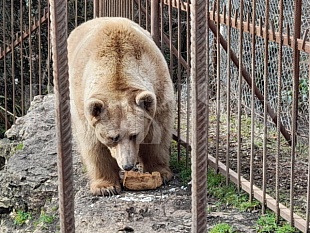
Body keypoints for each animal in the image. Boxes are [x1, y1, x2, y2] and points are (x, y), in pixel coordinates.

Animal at [67, 17, 174, 196]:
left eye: (135, 135)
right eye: (112, 137)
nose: (127, 165)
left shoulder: (158, 87)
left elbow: (158, 134)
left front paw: (161, 172)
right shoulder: (83, 103)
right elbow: (94, 145)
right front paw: (105, 187)